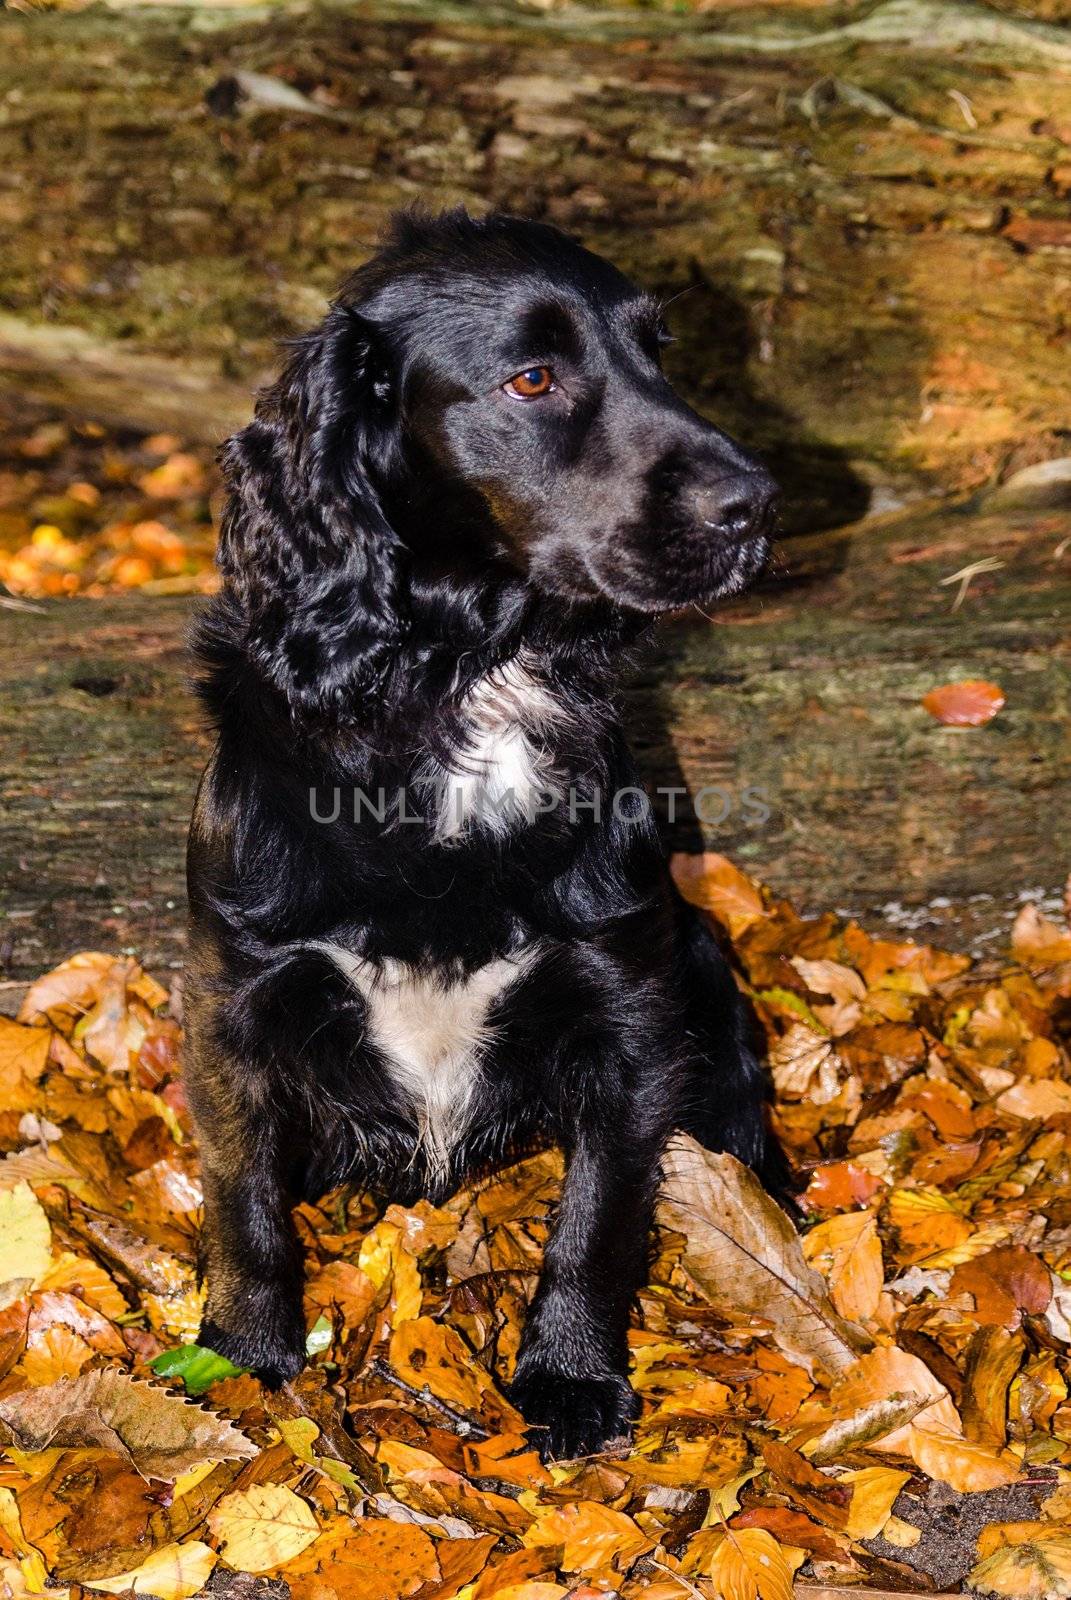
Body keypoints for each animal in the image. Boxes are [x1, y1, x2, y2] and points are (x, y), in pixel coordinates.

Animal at [185, 206, 778, 1459]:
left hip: (702, 957)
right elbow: (244, 1199)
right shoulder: (234, 996)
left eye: (659, 353)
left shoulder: (628, 999)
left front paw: (568, 1376)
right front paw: (242, 1357)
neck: (466, 686)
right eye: (533, 378)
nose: (758, 502)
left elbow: (597, 1215)